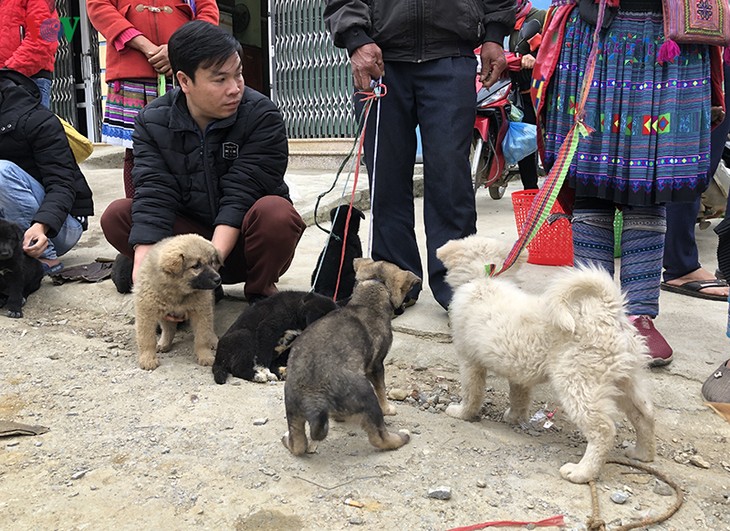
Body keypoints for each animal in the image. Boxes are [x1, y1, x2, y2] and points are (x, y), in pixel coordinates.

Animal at [132, 235, 220, 372]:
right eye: (196, 266)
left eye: (211, 262)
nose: (218, 279)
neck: (178, 292)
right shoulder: (146, 312)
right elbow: (147, 339)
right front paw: (148, 359)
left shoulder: (201, 312)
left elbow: (202, 337)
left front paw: (205, 356)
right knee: (168, 329)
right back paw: (164, 343)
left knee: (209, 328)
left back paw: (213, 340)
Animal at [280, 260, 418, 456]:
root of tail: (313, 396)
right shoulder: (377, 366)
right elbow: (382, 389)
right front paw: (388, 408)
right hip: (366, 395)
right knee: (380, 438)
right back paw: (401, 437)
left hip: (293, 411)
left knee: (298, 445)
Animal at [436, 235, 652, 484]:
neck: (485, 278)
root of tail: (607, 313)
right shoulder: (518, 371)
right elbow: (519, 397)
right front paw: (513, 417)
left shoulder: (469, 361)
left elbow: (472, 394)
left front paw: (461, 413)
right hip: (625, 379)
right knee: (644, 415)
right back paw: (642, 453)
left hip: (578, 382)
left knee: (603, 429)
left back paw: (581, 471)